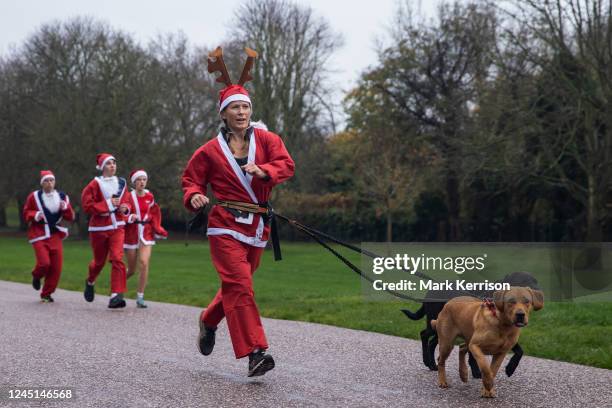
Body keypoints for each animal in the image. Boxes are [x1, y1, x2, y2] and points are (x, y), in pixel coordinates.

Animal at [404, 272, 536, 378]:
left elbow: (519, 351)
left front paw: (510, 368)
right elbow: (473, 356)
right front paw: (476, 372)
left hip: (444, 330)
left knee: (432, 342)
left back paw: (432, 364)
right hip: (437, 323)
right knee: (424, 335)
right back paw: (427, 361)